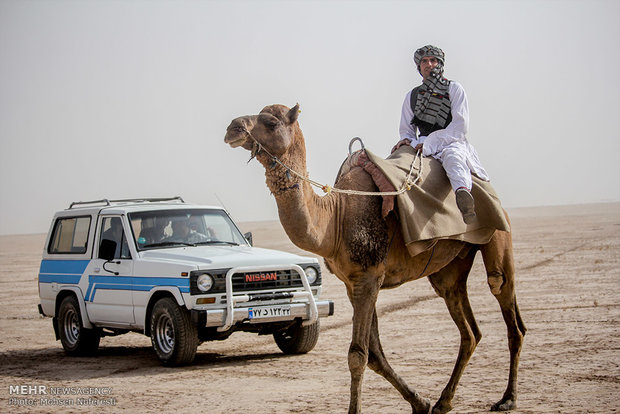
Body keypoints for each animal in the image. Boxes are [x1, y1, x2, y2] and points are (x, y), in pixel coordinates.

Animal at [225, 104, 524, 414]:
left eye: (271, 123)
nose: (232, 128)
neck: (336, 216)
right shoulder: (355, 283)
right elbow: (375, 355)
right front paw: (421, 402)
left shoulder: (369, 277)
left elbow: (358, 354)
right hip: (451, 267)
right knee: (469, 329)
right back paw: (444, 401)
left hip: (498, 234)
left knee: (506, 305)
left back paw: (508, 398)